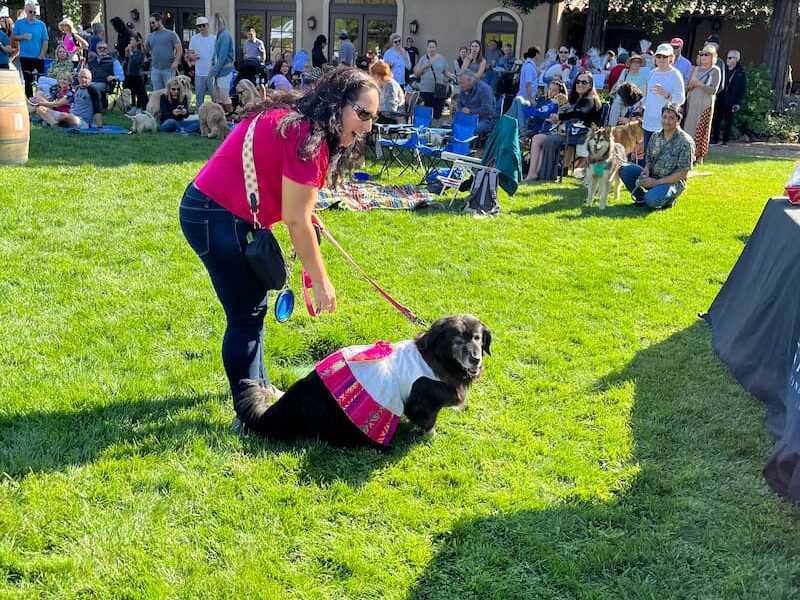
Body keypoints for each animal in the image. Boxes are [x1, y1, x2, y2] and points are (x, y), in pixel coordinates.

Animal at [234, 316, 490, 448]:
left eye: (477, 338)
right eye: (457, 341)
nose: (476, 358)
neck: (438, 358)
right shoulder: (422, 403)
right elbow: (427, 422)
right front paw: (431, 437)